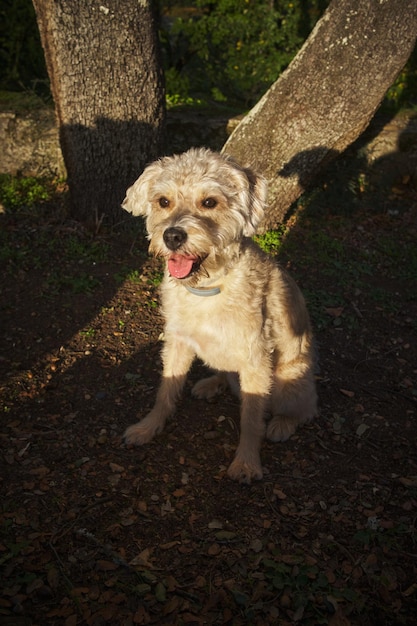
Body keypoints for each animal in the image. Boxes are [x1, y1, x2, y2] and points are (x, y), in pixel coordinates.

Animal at [122, 146, 316, 482]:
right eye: (163, 201)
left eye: (209, 202)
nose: (172, 236)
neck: (207, 289)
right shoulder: (177, 343)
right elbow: (165, 389)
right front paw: (148, 427)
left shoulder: (255, 359)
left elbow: (252, 418)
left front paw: (247, 462)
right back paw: (211, 384)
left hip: (290, 381)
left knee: (305, 409)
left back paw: (281, 424)